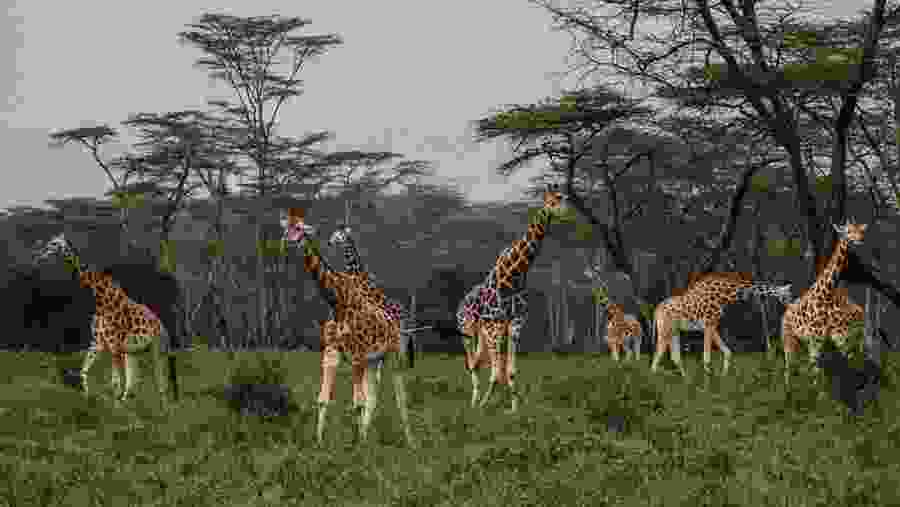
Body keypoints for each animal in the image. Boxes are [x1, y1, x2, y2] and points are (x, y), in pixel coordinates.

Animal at [31, 233, 169, 403]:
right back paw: (128, 400)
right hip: (132, 350)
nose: (39, 253)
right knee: (134, 377)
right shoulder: (98, 342)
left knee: (159, 378)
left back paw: (163, 406)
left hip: (156, 347)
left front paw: (114, 404)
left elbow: (115, 380)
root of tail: (160, 324)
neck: (101, 300)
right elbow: (85, 370)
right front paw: (87, 395)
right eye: (50, 241)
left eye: (55, 243)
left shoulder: (114, 345)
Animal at [281, 208, 415, 446]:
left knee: (400, 397)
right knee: (373, 396)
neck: (338, 303)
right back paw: (367, 437)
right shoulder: (332, 353)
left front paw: (355, 446)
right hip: (374, 360)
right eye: (287, 227)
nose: (289, 240)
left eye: (300, 228)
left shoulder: (357, 356)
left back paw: (410, 442)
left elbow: (357, 403)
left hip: (393, 355)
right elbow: (324, 399)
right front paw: (319, 442)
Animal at [455, 184, 570, 412]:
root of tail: (461, 303)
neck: (514, 277)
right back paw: (475, 401)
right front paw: (485, 405)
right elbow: (496, 372)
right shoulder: (496, 326)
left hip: (483, 332)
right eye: (553, 200)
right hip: (468, 330)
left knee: (478, 362)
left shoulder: (515, 323)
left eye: (565, 197)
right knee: (472, 363)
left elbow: (509, 371)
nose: (566, 212)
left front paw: (513, 408)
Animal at [651, 272, 794, 376]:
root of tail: (656, 311)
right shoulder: (709, 324)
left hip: (674, 330)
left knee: (674, 357)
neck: (726, 295)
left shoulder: (712, 325)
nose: (791, 305)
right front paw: (708, 384)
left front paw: (723, 376)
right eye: (788, 295)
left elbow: (727, 352)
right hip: (666, 329)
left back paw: (685, 381)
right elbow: (707, 358)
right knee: (658, 354)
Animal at [781, 220, 868, 389]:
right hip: (788, 338)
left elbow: (819, 372)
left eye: (860, 231)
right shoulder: (815, 341)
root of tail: (785, 314)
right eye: (848, 231)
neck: (825, 298)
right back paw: (788, 391)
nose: (859, 239)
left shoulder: (822, 340)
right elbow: (816, 372)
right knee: (788, 368)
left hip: (803, 342)